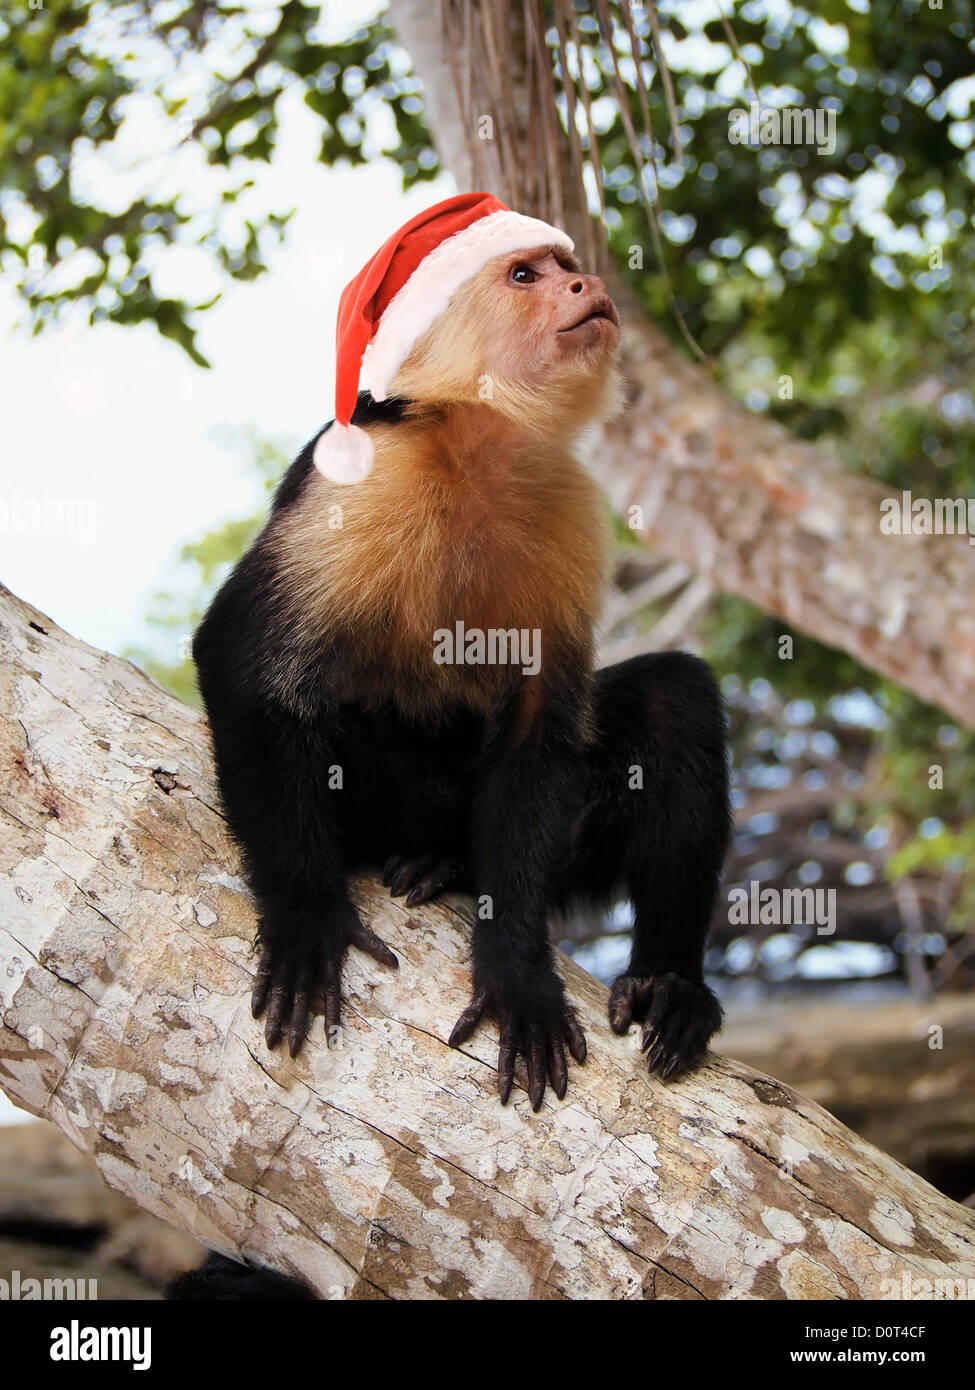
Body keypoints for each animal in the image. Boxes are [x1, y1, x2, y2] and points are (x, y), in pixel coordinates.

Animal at [193, 236, 728, 1106]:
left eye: (564, 267)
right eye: (526, 275)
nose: (587, 284)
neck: (482, 441)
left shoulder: (568, 503)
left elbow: (538, 736)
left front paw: (514, 972)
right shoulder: (367, 468)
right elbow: (245, 664)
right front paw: (305, 919)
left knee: (669, 698)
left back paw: (661, 980)